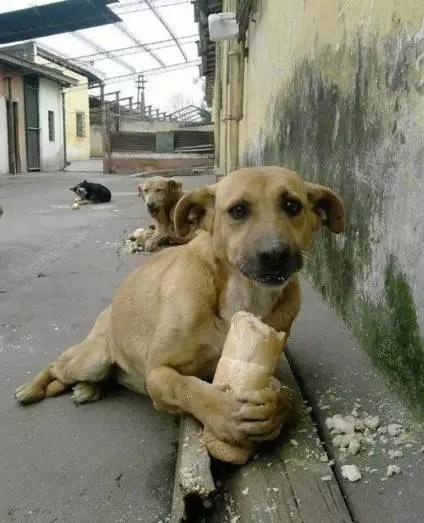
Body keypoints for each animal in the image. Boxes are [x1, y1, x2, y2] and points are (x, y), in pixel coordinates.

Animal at [15, 167, 344, 450]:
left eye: (292, 205)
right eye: (238, 210)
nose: (275, 255)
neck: (242, 294)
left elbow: (285, 394)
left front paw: (275, 410)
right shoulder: (158, 372)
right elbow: (186, 387)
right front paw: (224, 413)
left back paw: (88, 389)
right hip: (91, 358)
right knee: (57, 364)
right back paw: (31, 389)